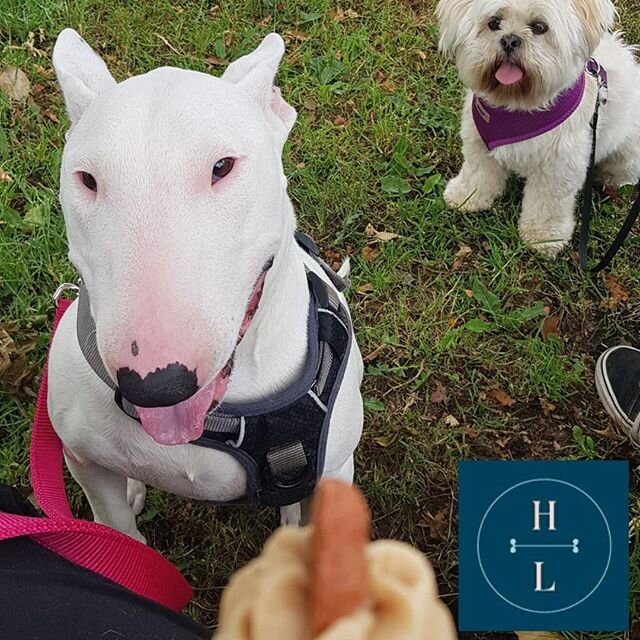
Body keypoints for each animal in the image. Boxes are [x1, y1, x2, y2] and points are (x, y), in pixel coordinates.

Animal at [438, 2, 640, 258]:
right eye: (494, 23)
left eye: (539, 27)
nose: (510, 40)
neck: (517, 109)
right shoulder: (479, 144)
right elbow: (478, 174)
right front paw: (466, 197)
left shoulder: (558, 168)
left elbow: (547, 205)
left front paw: (544, 236)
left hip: (627, 152)